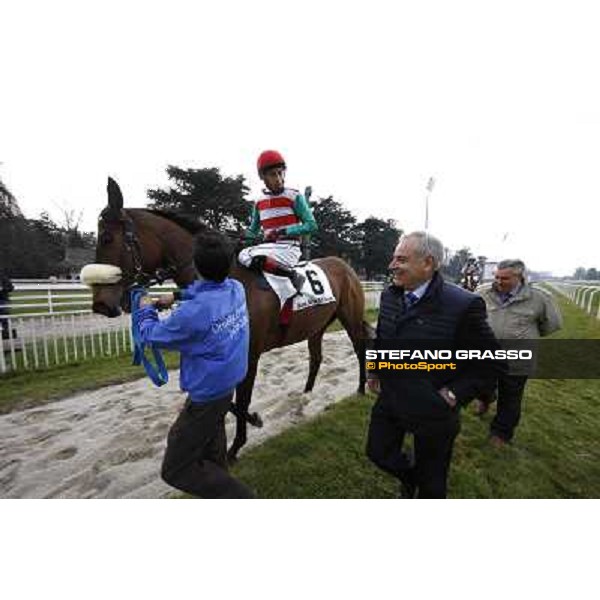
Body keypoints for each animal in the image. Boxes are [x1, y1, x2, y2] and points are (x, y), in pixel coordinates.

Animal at [88, 178, 370, 460]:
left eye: (107, 238)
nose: (101, 304)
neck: (224, 281)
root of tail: (344, 265)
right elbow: (219, 398)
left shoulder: (249, 354)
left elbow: (241, 399)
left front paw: (235, 446)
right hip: (317, 325)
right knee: (316, 357)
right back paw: (305, 396)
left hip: (350, 317)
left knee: (359, 347)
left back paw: (361, 389)